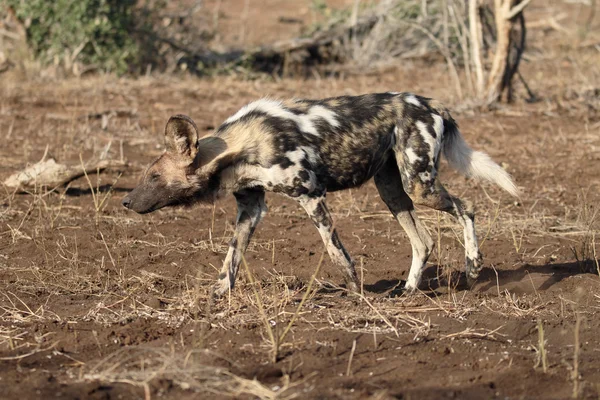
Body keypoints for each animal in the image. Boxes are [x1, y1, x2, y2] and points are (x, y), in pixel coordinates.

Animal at [122, 92, 516, 296]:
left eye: (154, 176)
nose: (125, 201)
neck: (239, 148)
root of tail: (434, 104)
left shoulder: (310, 194)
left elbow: (334, 249)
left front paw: (355, 290)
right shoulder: (250, 210)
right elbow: (231, 257)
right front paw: (219, 294)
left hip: (421, 187)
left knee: (468, 208)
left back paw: (472, 267)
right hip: (393, 190)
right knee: (424, 242)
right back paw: (407, 290)